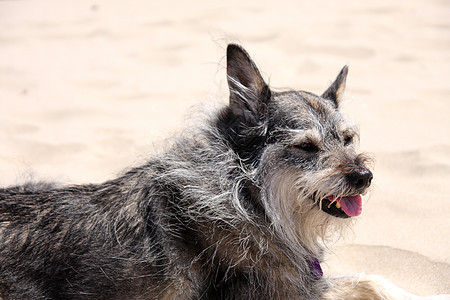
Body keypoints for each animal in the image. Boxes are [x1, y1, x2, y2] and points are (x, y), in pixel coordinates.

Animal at [0, 43, 446, 298]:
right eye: (305, 147)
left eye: (348, 139)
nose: (363, 177)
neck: (250, 197)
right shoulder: (281, 293)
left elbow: (373, 279)